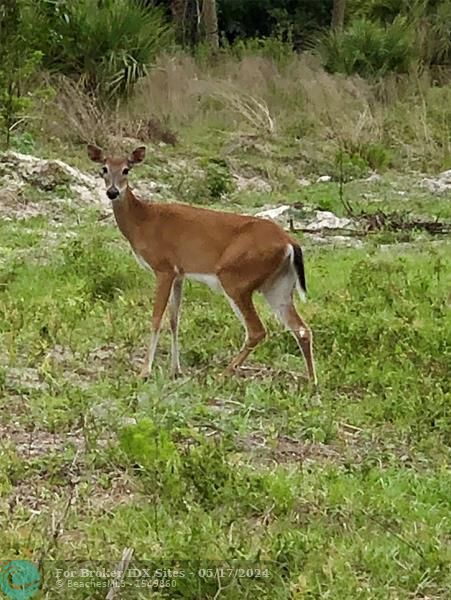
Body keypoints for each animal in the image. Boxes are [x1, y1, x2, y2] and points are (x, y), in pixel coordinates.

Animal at [87, 143, 318, 382]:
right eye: (104, 169)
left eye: (126, 169)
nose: (112, 192)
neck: (143, 221)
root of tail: (290, 242)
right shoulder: (179, 273)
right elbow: (174, 319)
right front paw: (175, 369)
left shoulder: (164, 267)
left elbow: (157, 317)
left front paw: (144, 372)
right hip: (278, 285)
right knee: (301, 329)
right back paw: (311, 382)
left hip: (236, 278)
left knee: (257, 330)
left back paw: (224, 373)